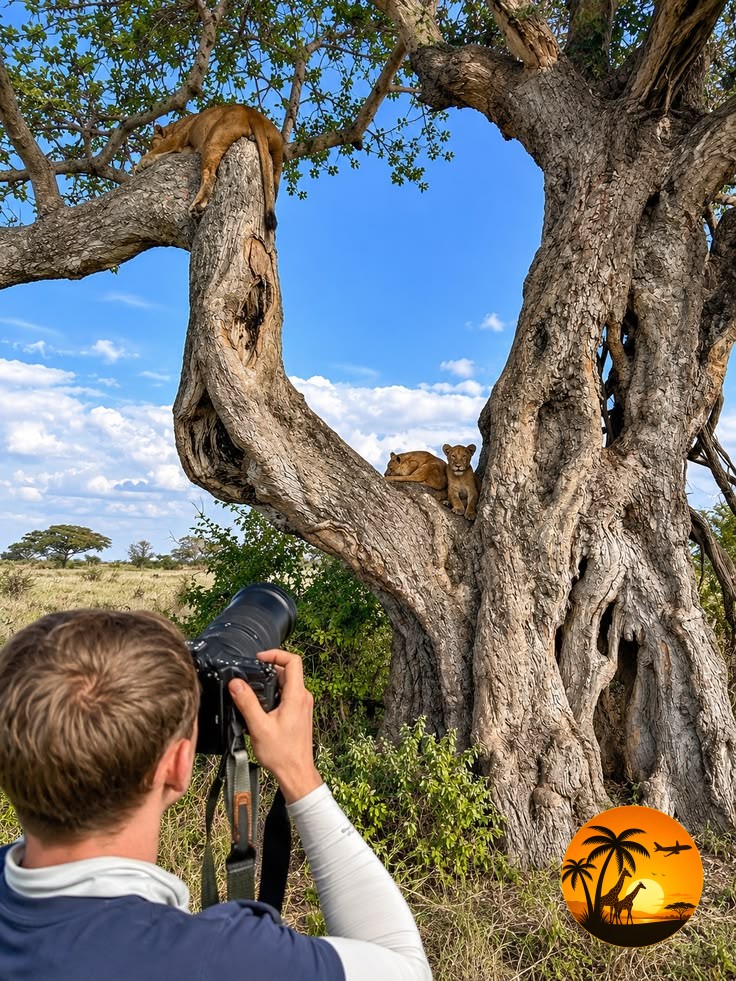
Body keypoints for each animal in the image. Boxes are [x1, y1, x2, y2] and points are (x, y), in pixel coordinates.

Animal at [135, 104, 284, 229]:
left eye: (152, 143)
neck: (175, 126)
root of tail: (253, 113)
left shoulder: (177, 138)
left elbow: (158, 150)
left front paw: (140, 165)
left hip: (213, 139)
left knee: (210, 176)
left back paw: (197, 206)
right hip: (276, 161)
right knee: (273, 189)